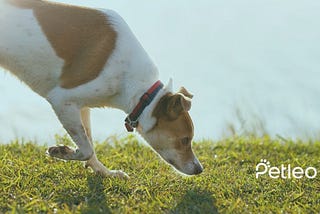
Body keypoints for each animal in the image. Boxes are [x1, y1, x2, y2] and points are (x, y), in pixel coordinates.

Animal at [0, 0, 204, 178]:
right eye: (185, 140)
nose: (199, 169)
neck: (142, 93)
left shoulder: (81, 107)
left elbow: (89, 144)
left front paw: (104, 172)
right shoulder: (61, 100)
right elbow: (87, 149)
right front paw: (61, 151)